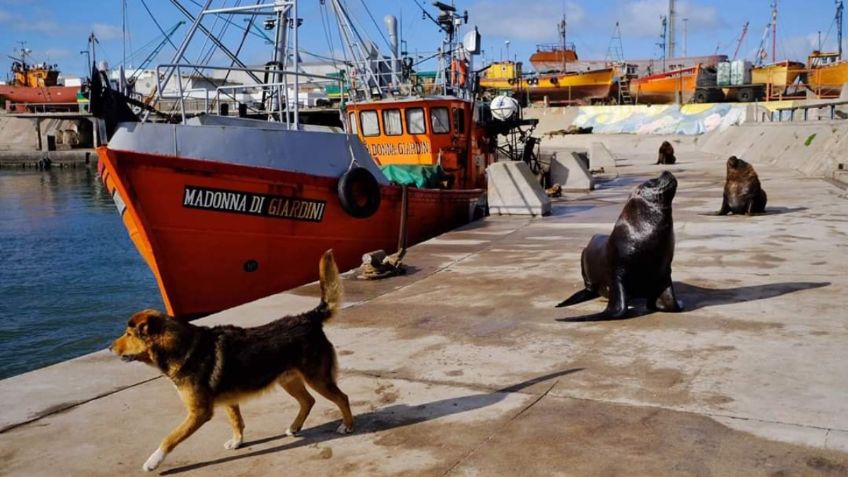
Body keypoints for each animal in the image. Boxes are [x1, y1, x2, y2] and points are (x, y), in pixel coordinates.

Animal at [112, 249, 352, 472]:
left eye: (129, 334)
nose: (111, 347)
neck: (182, 347)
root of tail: (309, 317)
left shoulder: (199, 413)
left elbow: (170, 438)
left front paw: (153, 461)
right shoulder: (229, 399)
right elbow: (237, 422)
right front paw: (237, 442)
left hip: (317, 379)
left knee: (342, 398)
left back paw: (347, 426)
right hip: (289, 380)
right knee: (308, 401)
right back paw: (294, 427)